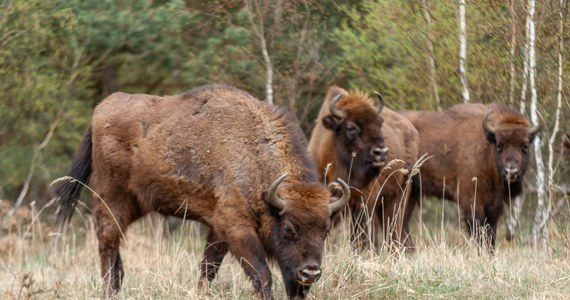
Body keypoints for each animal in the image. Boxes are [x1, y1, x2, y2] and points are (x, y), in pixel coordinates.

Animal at [53, 84, 348, 300]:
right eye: (288, 227)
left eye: (326, 229)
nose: (310, 272)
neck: (255, 156)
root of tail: (100, 111)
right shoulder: (236, 226)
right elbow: (261, 274)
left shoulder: (218, 228)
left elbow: (208, 267)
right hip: (112, 198)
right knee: (107, 241)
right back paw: (109, 290)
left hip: (137, 203)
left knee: (113, 246)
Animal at [306, 86, 418, 251]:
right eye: (351, 127)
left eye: (379, 123)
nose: (381, 152)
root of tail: (412, 130)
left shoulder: (363, 202)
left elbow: (361, 237)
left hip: (399, 195)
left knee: (394, 231)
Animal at [400, 103, 540, 253]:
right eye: (499, 145)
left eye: (525, 146)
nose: (511, 171)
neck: (486, 150)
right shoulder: (472, 202)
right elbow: (478, 232)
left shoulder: (494, 206)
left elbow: (491, 235)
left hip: (411, 194)